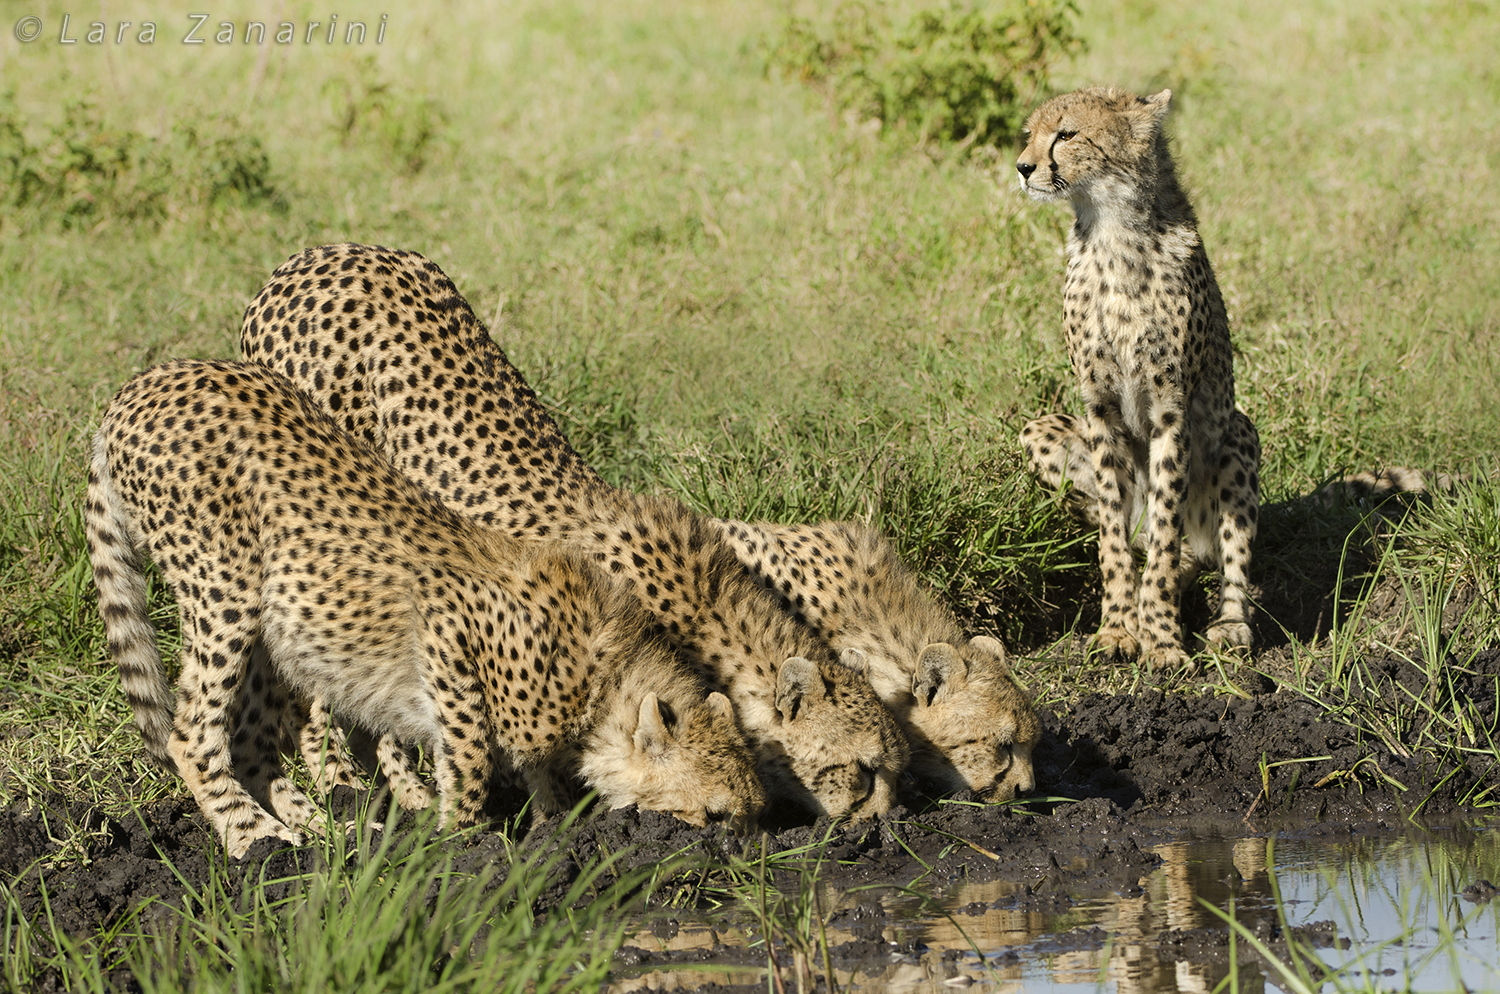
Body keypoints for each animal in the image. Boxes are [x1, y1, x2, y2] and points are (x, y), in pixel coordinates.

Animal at [86, 359, 765, 858]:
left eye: (753, 813)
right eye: (713, 814)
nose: (740, 854)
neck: (604, 679)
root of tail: (145, 382)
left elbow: (532, 770)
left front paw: (548, 826)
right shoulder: (449, 625)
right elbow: (470, 755)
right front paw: (459, 844)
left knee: (252, 737)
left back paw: (332, 828)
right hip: (224, 590)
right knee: (192, 732)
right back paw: (257, 839)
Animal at [1015, 86, 1261, 671]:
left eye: (1067, 134)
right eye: (1029, 135)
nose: (1023, 167)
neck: (1111, 229)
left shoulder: (1172, 412)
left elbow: (1167, 529)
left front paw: (1163, 638)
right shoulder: (1100, 410)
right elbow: (1112, 531)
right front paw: (1118, 628)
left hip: (1238, 435)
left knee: (1219, 554)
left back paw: (1229, 624)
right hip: (1038, 429)